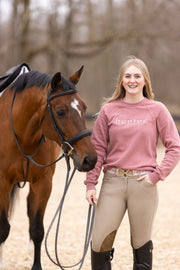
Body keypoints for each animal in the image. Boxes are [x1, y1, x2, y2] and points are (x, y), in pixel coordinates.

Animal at [0, 63, 97, 270]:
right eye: (60, 111)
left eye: (84, 107)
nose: (90, 159)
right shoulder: (2, 183)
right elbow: (3, 228)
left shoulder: (43, 183)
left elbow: (37, 230)